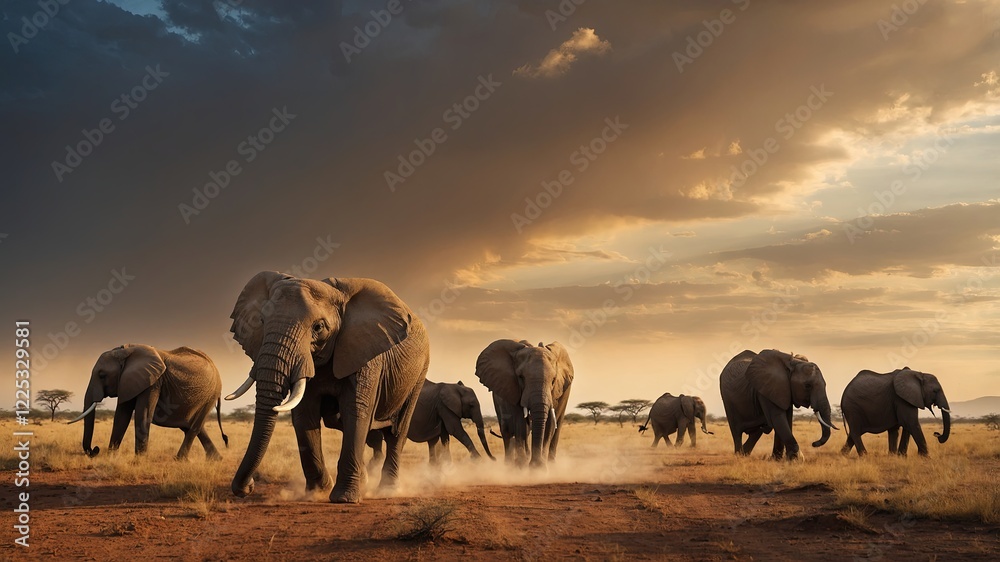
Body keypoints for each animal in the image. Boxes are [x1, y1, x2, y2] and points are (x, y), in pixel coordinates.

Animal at [68, 344, 228, 460]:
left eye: (102, 375)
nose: (95, 449)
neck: (127, 352)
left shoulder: (153, 382)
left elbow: (142, 413)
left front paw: (140, 460)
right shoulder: (128, 381)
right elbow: (121, 416)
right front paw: (111, 456)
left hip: (211, 394)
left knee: (194, 426)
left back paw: (179, 460)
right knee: (189, 425)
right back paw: (216, 459)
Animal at [225, 271, 429, 503]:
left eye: (318, 327)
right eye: (261, 321)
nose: (247, 487)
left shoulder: (366, 353)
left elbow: (355, 412)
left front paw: (344, 499)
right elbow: (305, 416)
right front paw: (318, 492)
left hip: (419, 373)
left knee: (397, 431)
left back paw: (388, 490)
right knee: (339, 421)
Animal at [366, 380, 495, 468]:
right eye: (471, 405)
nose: (494, 459)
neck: (453, 386)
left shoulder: (441, 410)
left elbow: (445, 436)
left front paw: (447, 465)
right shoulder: (444, 407)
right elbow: (456, 430)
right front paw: (479, 460)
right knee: (376, 440)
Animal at [475, 339, 574, 468]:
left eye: (553, 380)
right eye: (521, 377)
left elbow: (550, 424)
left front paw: (540, 468)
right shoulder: (510, 387)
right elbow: (520, 422)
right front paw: (525, 466)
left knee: (557, 427)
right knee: (506, 429)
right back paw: (510, 464)